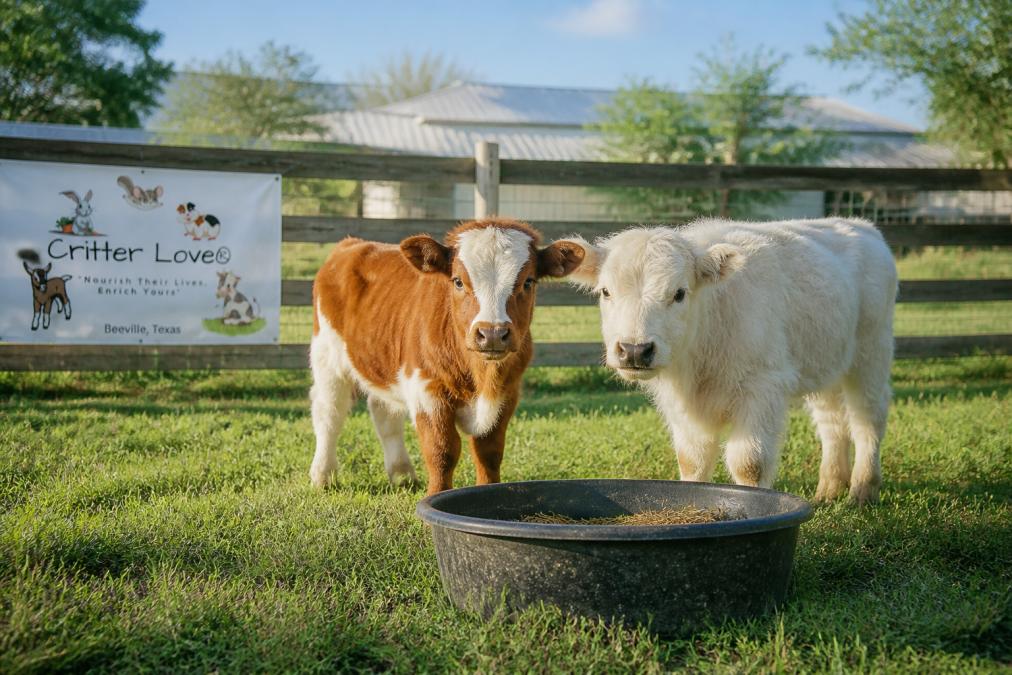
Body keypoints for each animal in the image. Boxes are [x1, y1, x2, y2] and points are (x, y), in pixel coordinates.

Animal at [309, 218, 586, 494]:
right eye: (458, 281)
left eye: (528, 281)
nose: (492, 333)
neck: (482, 377)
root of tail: (352, 244)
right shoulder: (427, 389)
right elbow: (442, 450)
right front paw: (435, 496)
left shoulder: (507, 392)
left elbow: (489, 451)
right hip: (327, 357)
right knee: (329, 413)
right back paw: (323, 475)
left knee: (384, 412)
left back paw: (401, 473)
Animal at [564, 218, 897, 504]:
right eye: (606, 291)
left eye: (679, 293)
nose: (634, 350)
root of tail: (860, 225)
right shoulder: (681, 408)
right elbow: (691, 461)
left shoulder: (762, 389)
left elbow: (749, 464)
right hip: (826, 362)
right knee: (832, 422)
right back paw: (829, 488)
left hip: (871, 354)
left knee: (867, 418)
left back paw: (863, 489)